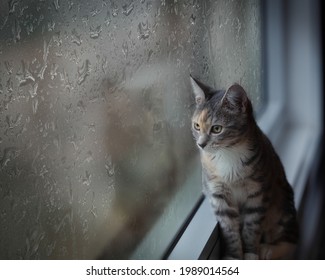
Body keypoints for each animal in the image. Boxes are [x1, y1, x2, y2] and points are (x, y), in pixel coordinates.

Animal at [190, 75, 298, 260]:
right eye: (197, 126)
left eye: (217, 129)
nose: (201, 144)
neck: (227, 154)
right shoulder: (218, 195)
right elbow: (229, 231)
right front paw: (233, 256)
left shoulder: (258, 193)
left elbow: (251, 228)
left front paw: (250, 254)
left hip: (283, 205)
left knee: (290, 240)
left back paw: (269, 250)